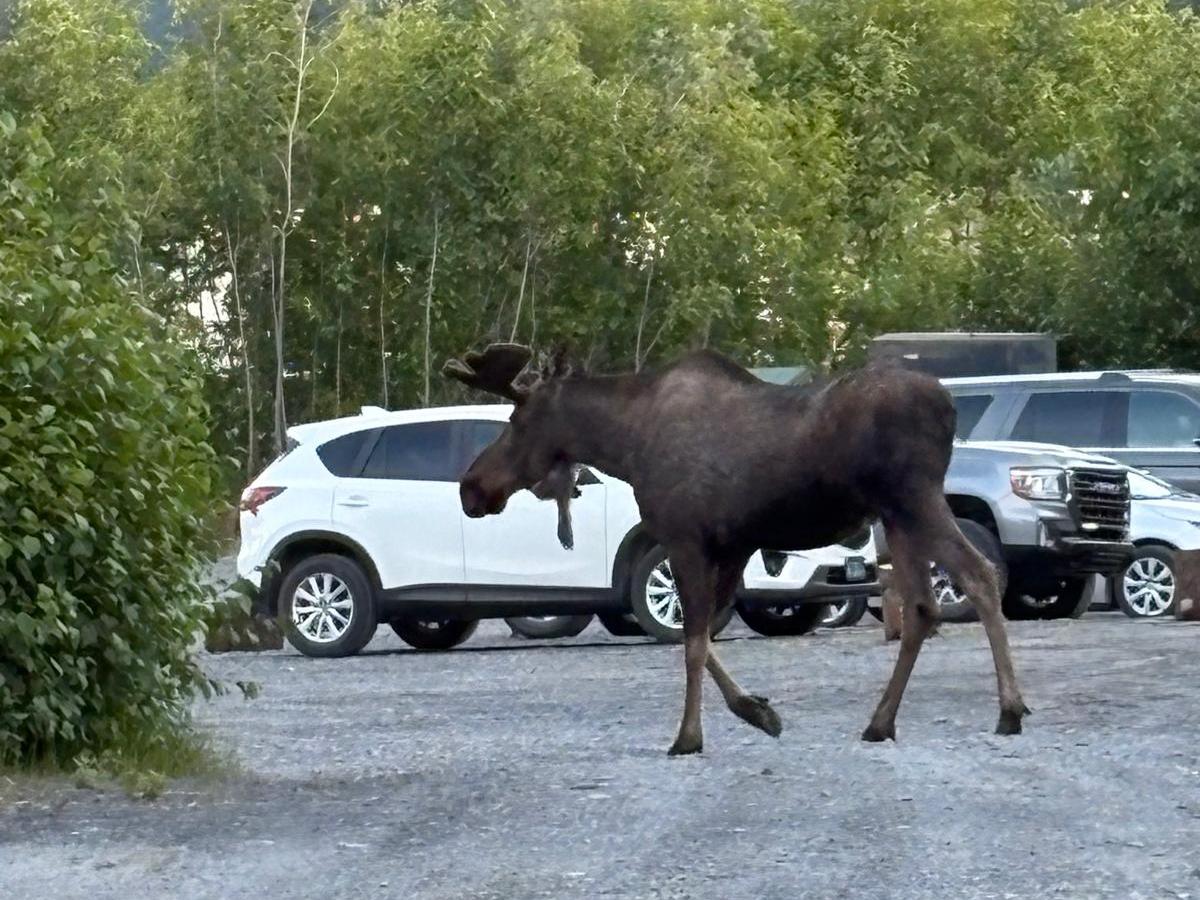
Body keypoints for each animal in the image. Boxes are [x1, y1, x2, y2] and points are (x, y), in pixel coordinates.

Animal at [444, 343, 1029, 755]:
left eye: (516, 421)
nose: (470, 487)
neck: (625, 445)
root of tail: (949, 407)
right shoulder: (731, 544)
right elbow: (705, 639)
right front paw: (758, 711)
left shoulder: (686, 538)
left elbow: (692, 643)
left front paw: (688, 736)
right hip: (898, 515)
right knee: (924, 608)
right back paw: (881, 722)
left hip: (914, 499)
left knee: (979, 574)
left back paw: (1010, 709)